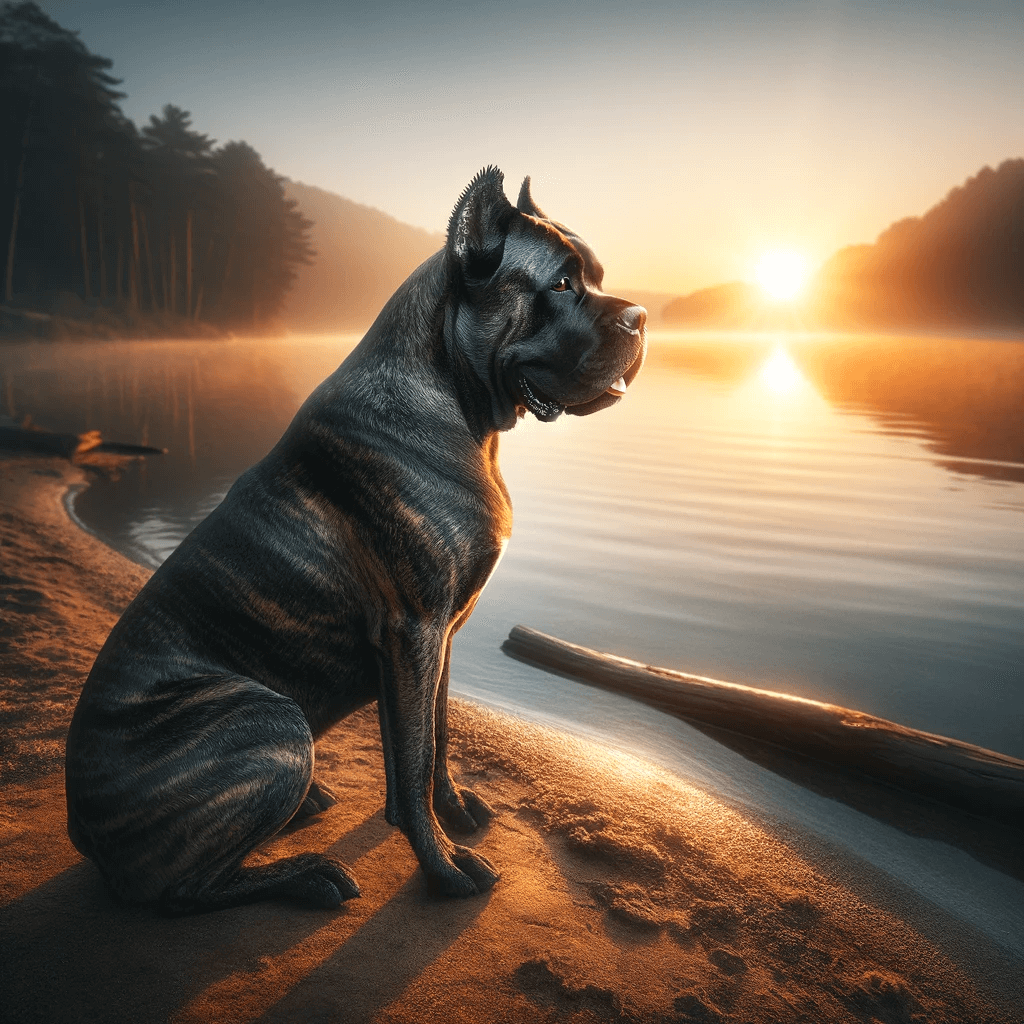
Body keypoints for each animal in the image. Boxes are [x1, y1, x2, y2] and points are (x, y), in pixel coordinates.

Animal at [66, 167, 647, 913]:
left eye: (596, 278)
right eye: (563, 285)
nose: (640, 317)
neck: (458, 405)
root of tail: (80, 823)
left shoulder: (437, 638)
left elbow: (431, 742)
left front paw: (452, 813)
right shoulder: (413, 630)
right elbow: (413, 756)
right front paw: (444, 870)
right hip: (272, 718)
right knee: (183, 890)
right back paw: (308, 874)